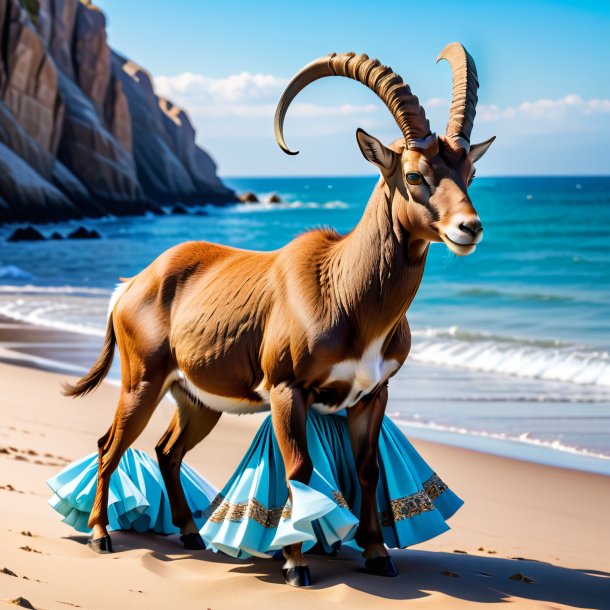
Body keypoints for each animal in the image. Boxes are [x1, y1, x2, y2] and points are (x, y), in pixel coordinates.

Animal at [65, 42, 494, 584]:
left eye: (469, 173)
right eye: (415, 174)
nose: (469, 228)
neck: (343, 290)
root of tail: (131, 285)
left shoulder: (371, 396)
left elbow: (368, 470)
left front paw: (378, 555)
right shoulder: (288, 391)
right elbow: (298, 471)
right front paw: (295, 563)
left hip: (196, 400)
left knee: (166, 450)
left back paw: (191, 534)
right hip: (142, 383)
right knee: (110, 446)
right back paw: (101, 534)